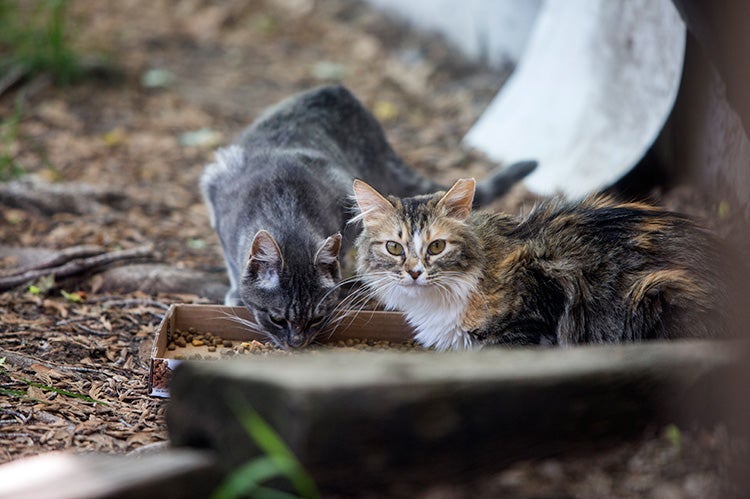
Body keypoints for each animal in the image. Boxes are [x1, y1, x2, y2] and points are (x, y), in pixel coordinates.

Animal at [198, 86, 536, 350]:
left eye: (317, 317)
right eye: (277, 318)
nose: (297, 344)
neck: (283, 209)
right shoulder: (215, 189)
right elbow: (231, 260)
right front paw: (235, 292)